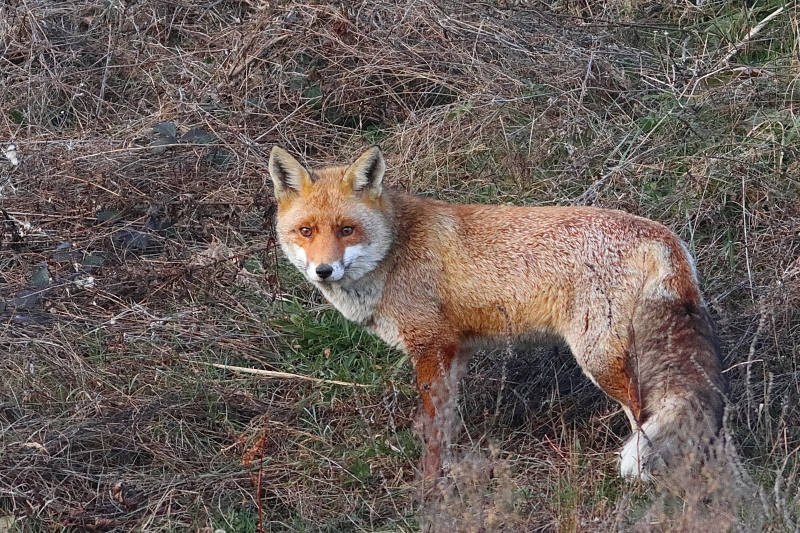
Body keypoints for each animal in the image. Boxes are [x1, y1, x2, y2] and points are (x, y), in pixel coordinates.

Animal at [268, 144, 724, 478]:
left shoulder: (429, 346)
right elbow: (447, 421)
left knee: (643, 417)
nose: (324, 270)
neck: (394, 252)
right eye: (306, 231)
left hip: (600, 358)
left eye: (347, 230)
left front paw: (431, 483)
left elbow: (433, 430)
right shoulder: (455, 350)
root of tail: (664, 236)